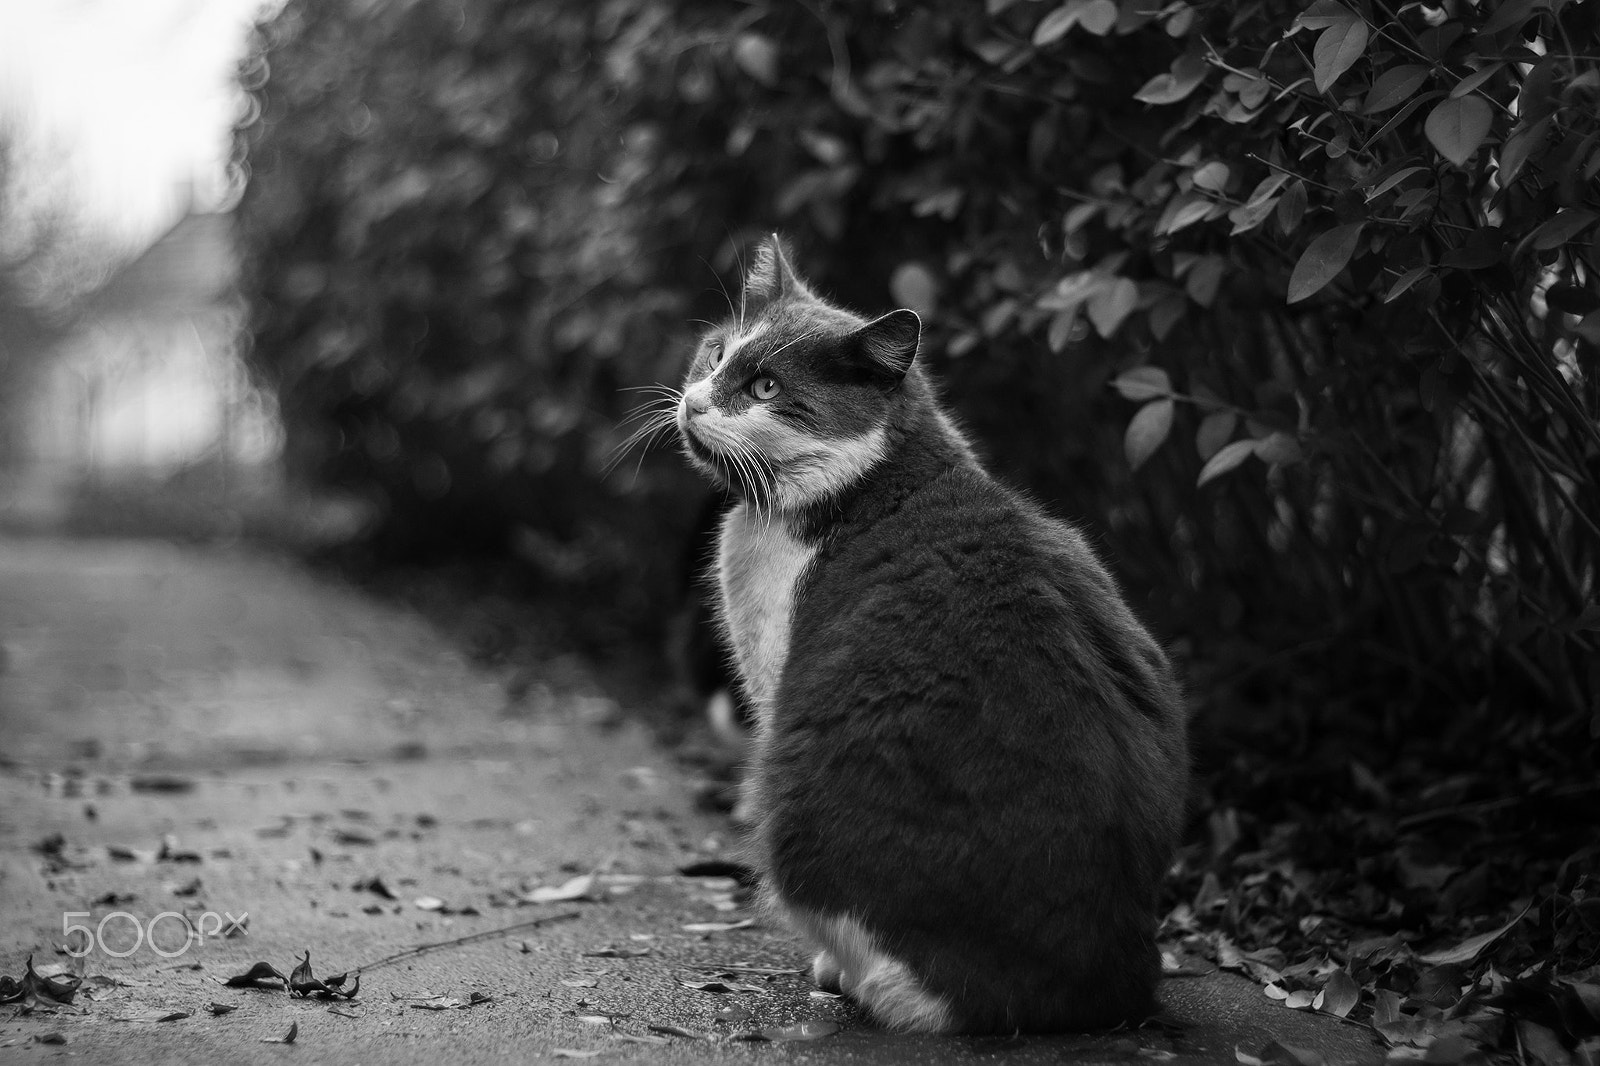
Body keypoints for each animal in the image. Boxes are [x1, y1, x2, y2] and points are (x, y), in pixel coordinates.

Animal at [672, 235, 1190, 1030]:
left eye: (763, 387)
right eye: (718, 351)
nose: (695, 399)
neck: (855, 492)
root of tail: (1106, 981)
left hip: (788, 795)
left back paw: (853, 981)